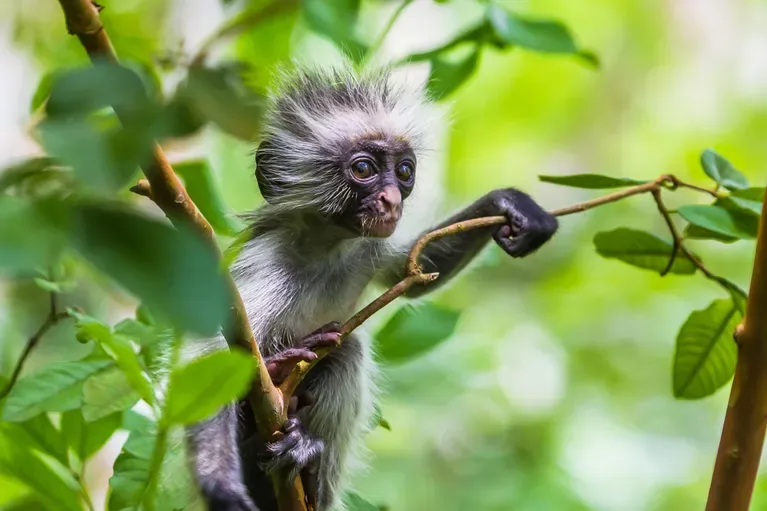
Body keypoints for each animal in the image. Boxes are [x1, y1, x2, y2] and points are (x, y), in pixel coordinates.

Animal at [184, 67, 558, 511]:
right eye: (364, 169)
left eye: (404, 171)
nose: (392, 199)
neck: (323, 249)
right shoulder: (266, 262)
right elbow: (209, 354)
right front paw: (219, 483)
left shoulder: (366, 246)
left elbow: (410, 270)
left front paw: (508, 204)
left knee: (345, 352)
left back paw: (305, 465)